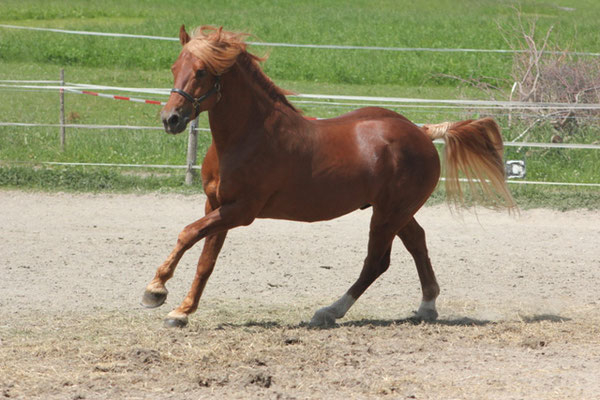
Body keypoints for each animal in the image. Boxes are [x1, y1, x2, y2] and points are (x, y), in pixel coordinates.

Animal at [142, 25, 516, 326]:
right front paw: (181, 311)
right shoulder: (215, 205)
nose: (170, 119)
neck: (247, 136)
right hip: (397, 211)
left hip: (387, 214)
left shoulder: (240, 211)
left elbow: (187, 234)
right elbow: (205, 260)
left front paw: (155, 291)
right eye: (175, 68)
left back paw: (329, 312)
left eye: (202, 71)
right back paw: (426, 307)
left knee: (376, 262)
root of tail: (422, 132)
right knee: (417, 244)